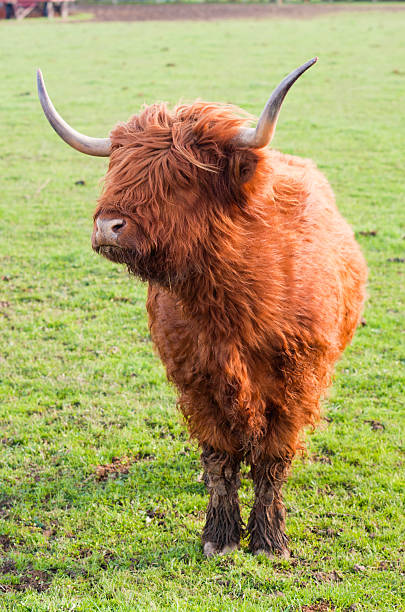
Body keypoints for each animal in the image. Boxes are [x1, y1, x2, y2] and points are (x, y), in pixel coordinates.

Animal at [37, 59, 366, 556]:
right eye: (117, 168)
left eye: (181, 176)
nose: (108, 226)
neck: (231, 305)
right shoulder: (196, 378)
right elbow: (220, 460)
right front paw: (221, 536)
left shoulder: (298, 378)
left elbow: (272, 460)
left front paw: (268, 540)